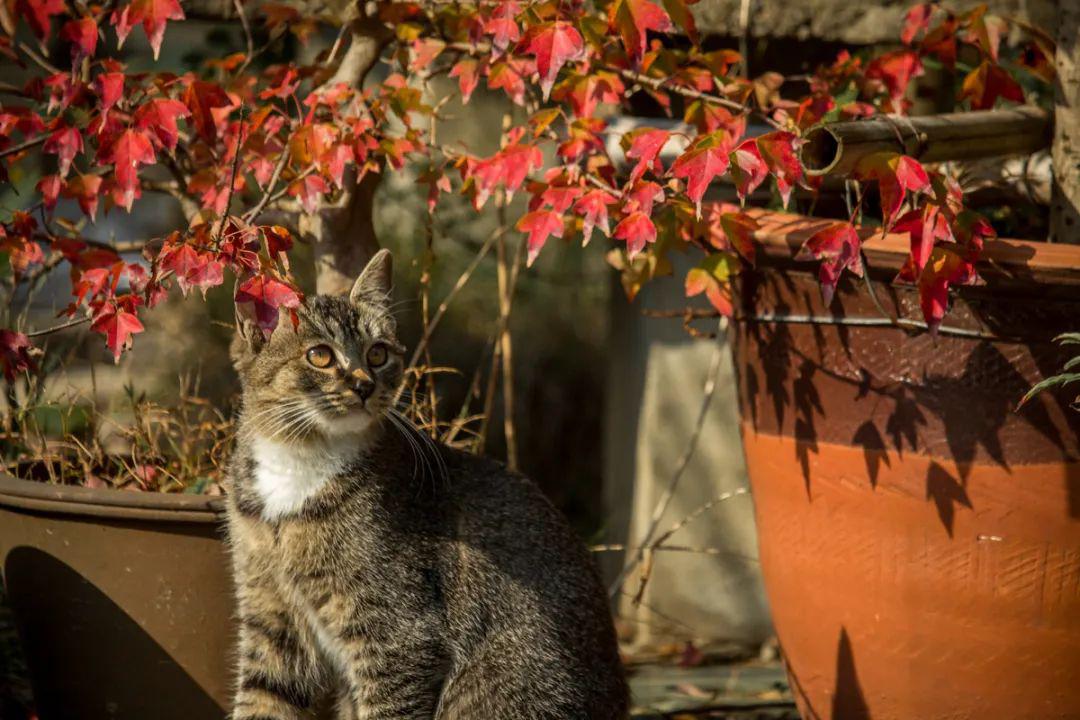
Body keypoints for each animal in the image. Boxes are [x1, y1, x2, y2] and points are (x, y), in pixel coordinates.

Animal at [224, 249, 630, 720]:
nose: (365, 385)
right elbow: (260, 702)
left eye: (378, 353)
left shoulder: (400, 635)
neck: (297, 464)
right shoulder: (271, 619)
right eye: (320, 355)